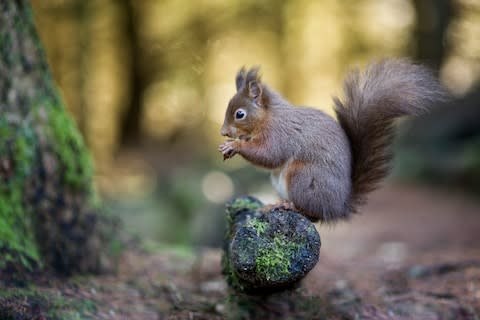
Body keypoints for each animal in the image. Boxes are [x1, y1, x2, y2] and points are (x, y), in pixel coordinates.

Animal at [220, 58, 446, 221]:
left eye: (240, 114)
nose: (223, 132)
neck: (268, 116)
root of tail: (338, 207)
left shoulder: (280, 134)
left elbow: (269, 155)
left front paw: (235, 145)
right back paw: (272, 204)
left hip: (303, 177)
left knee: (312, 212)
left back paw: (287, 205)